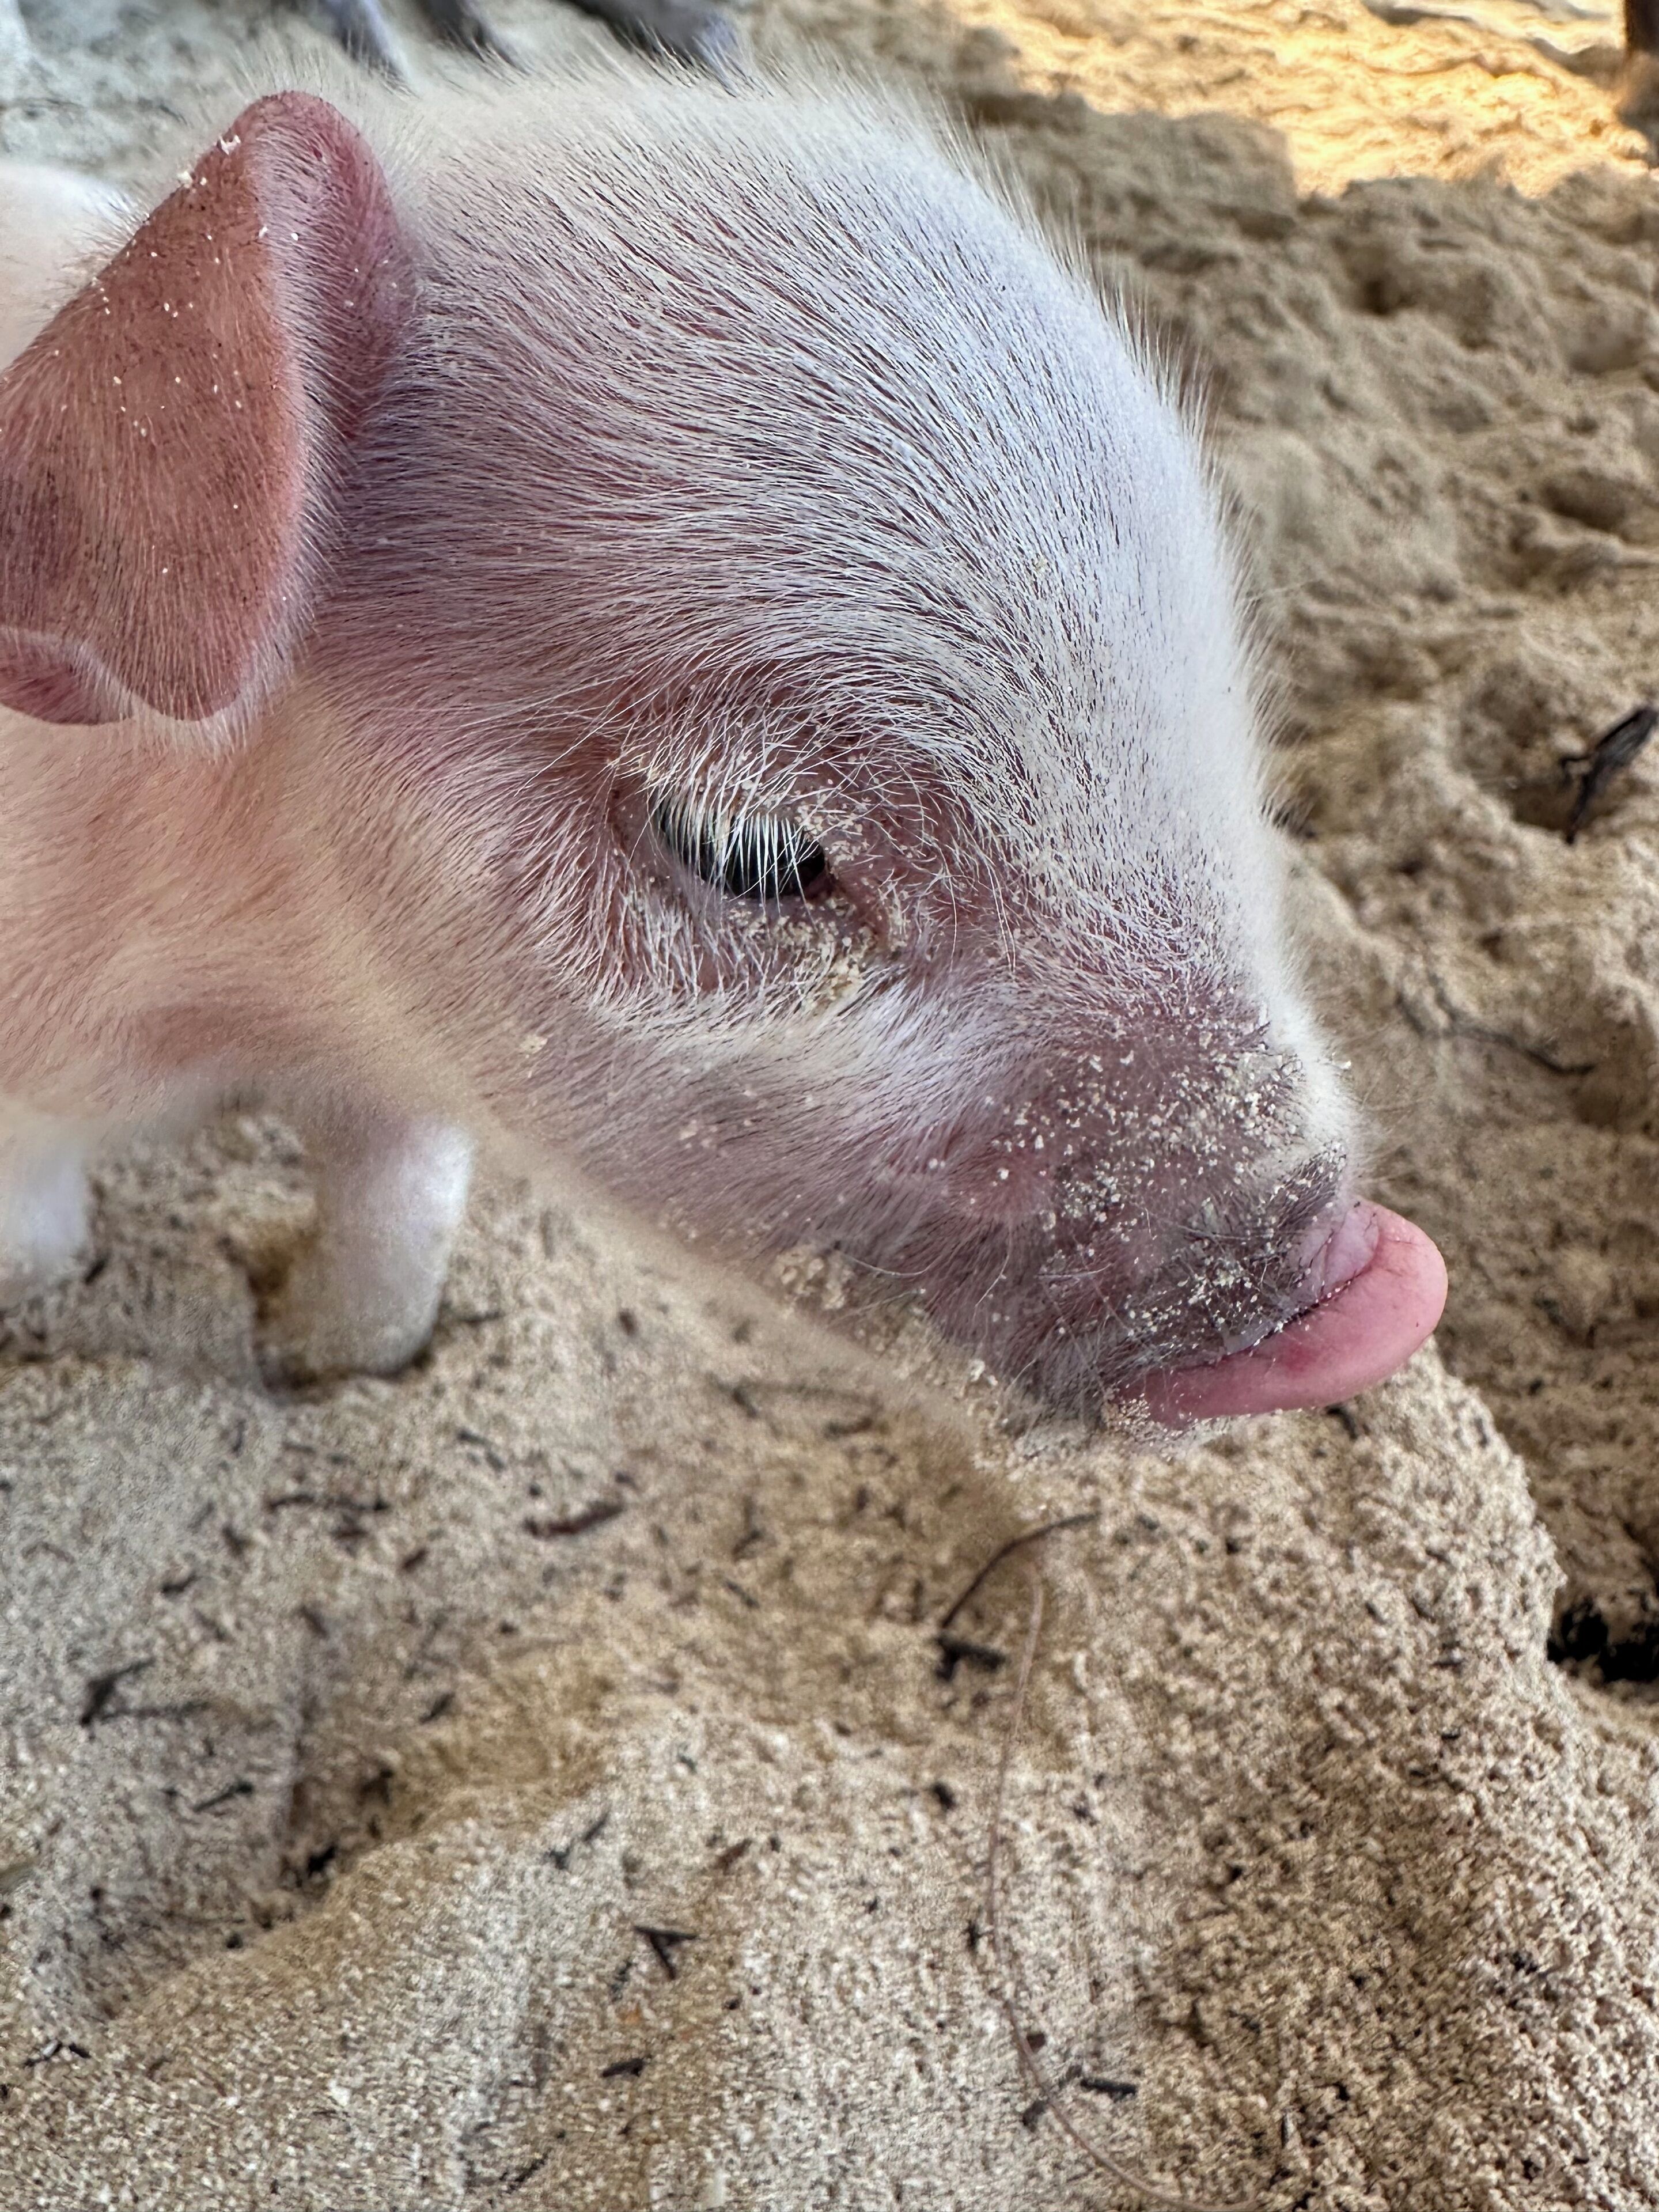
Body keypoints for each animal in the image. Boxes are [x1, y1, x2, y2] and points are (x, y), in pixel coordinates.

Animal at [0, 67, 1446, 1425]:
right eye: (743, 843)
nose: (1373, 1288)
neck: (248, 1012)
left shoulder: (393, 1074)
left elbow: (395, 1220)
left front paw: (315, 1364)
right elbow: (41, 1237)